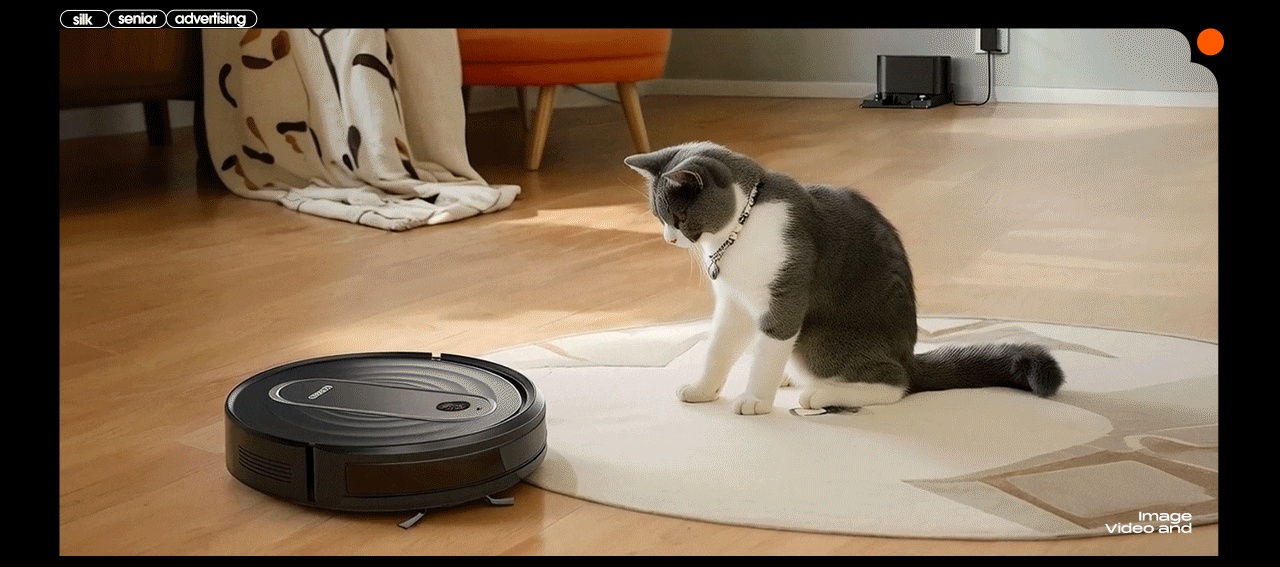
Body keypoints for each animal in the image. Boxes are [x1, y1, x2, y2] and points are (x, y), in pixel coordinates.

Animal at [624, 141, 1064, 416]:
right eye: (660, 217)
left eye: (680, 216)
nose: (669, 238)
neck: (738, 233)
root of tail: (908, 356)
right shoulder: (733, 302)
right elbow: (718, 348)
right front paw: (702, 390)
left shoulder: (785, 296)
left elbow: (766, 351)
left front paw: (754, 399)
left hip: (820, 340)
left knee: (895, 384)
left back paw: (818, 392)